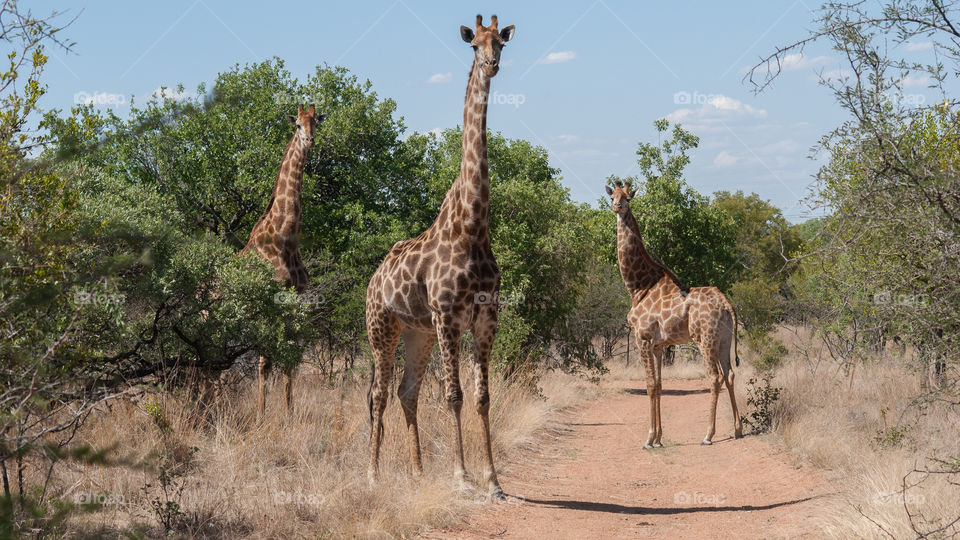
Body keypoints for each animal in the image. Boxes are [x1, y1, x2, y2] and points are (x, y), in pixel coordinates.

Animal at [241, 104, 326, 416]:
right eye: (298, 125)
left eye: (316, 123)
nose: (310, 141)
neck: (285, 237)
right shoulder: (269, 299)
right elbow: (265, 362)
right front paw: (261, 413)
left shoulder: (296, 298)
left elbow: (289, 360)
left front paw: (289, 413)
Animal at [364, 14, 515, 497]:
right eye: (474, 46)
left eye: (501, 43)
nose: (491, 65)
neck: (473, 227)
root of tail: (373, 279)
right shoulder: (449, 316)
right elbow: (454, 395)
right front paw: (462, 477)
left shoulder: (485, 318)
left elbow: (483, 397)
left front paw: (493, 480)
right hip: (381, 327)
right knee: (378, 393)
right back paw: (373, 472)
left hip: (418, 333)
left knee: (406, 391)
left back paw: (415, 472)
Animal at [605, 180, 743, 448]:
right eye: (612, 196)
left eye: (628, 197)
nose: (617, 207)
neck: (638, 286)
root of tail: (727, 305)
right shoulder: (658, 345)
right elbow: (659, 385)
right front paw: (659, 439)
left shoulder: (642, 338)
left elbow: (649, 385)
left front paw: (649, 439)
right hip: (724, 339)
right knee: (730, 374)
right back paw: (738, 429)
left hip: (705, 339)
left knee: (714, 377)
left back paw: (708, 435)